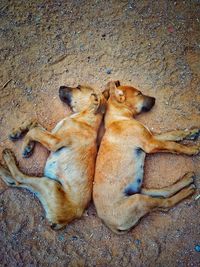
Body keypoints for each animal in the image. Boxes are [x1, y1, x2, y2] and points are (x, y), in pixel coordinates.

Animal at [0, 85, 106, 230]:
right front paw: (19, 133)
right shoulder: (52, 134)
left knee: (19, 177)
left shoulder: (54, 141)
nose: (61, 86)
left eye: (78, 87)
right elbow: (33, 122)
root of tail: (68, 218)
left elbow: (33, 131)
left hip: (49, 184)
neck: (84, 119)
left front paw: (26, 146)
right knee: (14, 182)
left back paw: (8, 157)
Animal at [93, 81, 199, 234]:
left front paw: (191, 132)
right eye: (139, 94)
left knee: (163, 192)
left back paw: (186, 181)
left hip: (140, 190)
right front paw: (191, 149)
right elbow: (173, 145)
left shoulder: (151, 137)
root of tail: (110, 225)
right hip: (139, 200)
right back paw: (187, 191)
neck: (119, 119)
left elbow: (173, 134)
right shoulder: (151, 144)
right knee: (165, 203)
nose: (154, 99)